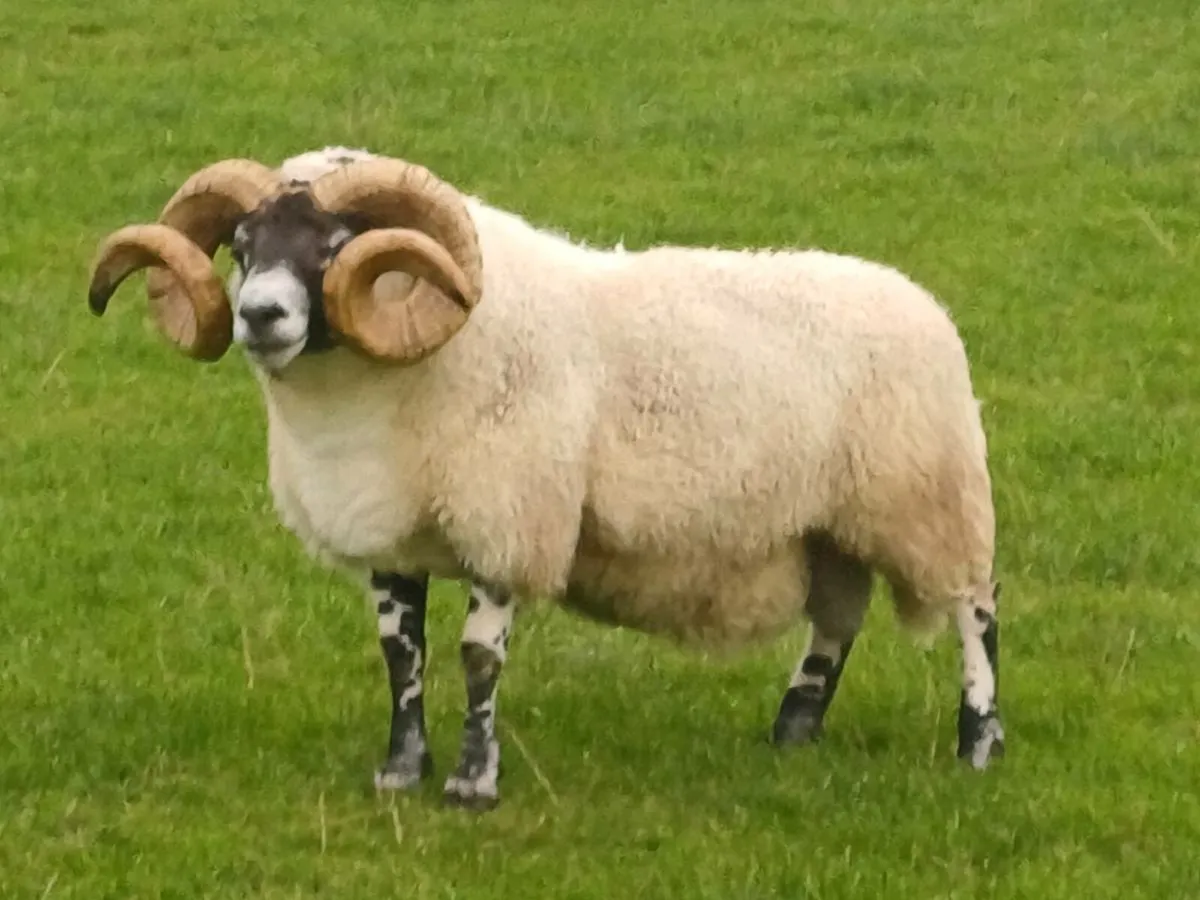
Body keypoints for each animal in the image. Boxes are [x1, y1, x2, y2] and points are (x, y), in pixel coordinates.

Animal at [85, 145, 1006, 810]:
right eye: (242, 249)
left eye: (335, 247)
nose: (259, 317)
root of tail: (922, 303)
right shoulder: (393, 533)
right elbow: (401, 654)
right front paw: (399, 773)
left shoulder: (508, 516)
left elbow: (476, 658)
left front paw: (471, 785)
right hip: (829, 524)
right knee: (836, 624)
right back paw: (794, 730)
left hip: (928, 500)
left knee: (975, 612)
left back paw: (980, 745)